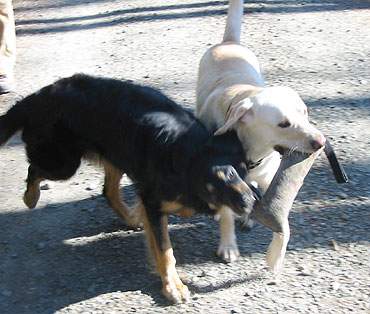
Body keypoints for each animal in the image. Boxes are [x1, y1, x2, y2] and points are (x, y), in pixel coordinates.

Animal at [0, 75, 260, 302]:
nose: (252, 202)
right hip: (63, 164)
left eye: (246, 169)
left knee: (108, 191)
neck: (184, 153)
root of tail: (39, 96)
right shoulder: (153, 201)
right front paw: (172, 286)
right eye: (220, 178)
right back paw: (30, 197)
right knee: (34, 169)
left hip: (115, 155)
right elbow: (165, 250)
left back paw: (130, 217)